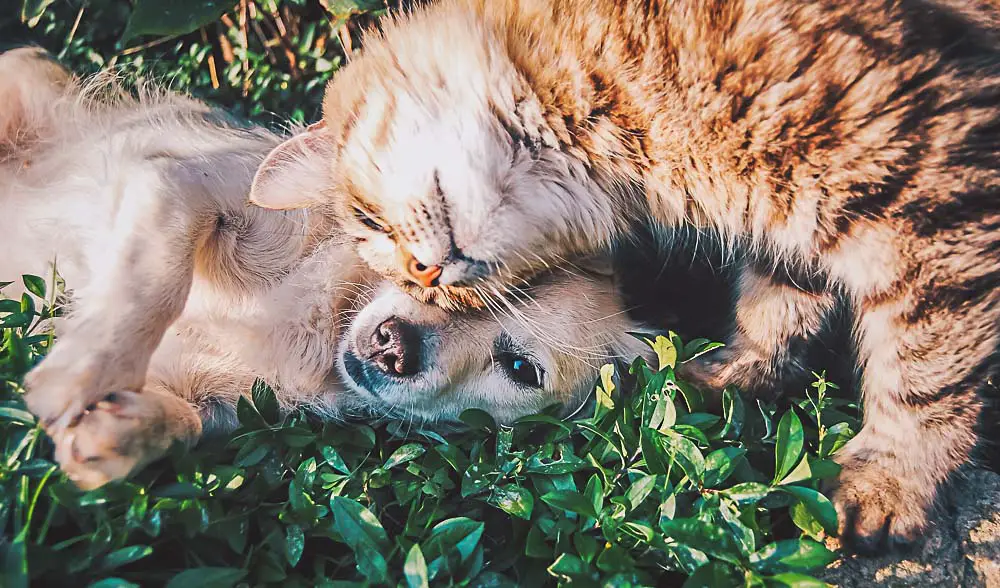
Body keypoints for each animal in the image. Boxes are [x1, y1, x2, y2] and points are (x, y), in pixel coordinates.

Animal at [1, 48, 656, 490]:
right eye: (427, 269)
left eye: (521, 368)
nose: (394, 346)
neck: (322, 322)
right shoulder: (179, 185)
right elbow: (154, 280)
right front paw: (81, 373)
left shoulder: (214, 400)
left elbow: (182, 423)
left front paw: (118, 433)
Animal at [248, 0, 1000, 552]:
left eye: (369, 222)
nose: (427, 274)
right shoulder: (792, 222)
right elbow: (775, 307)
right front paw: (734, 375)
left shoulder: (928, 197)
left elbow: (925, 373)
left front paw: (891, 482)